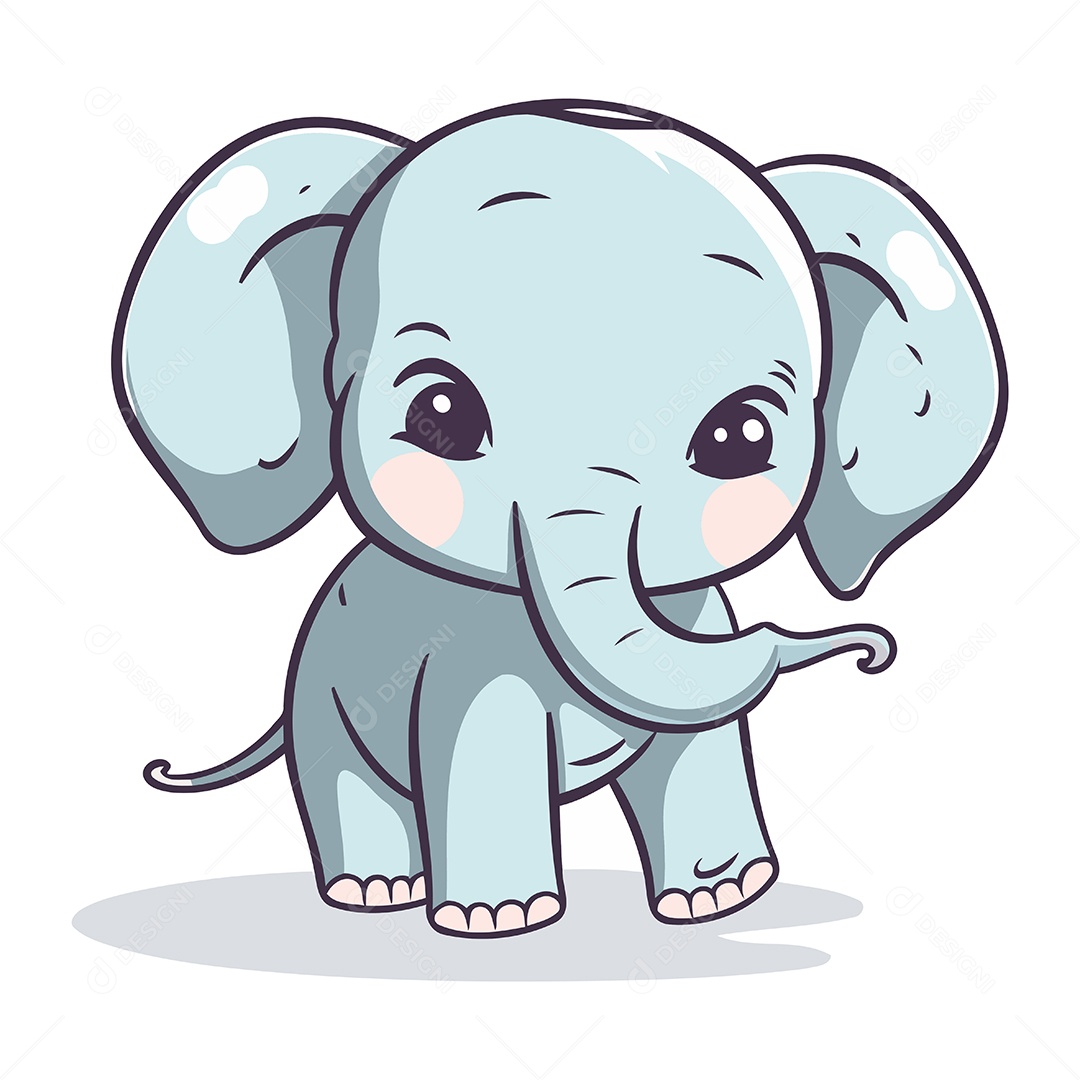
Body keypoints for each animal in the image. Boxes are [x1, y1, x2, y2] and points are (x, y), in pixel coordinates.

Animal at [115, 99, 1006, 938]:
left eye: (742, 436)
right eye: (441, 414)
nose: (875, 652)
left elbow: (699, 743)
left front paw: (722, 898)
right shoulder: (467, 666)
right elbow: (485, 748)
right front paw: (499, 919)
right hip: (321, 693)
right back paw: (375, 892)